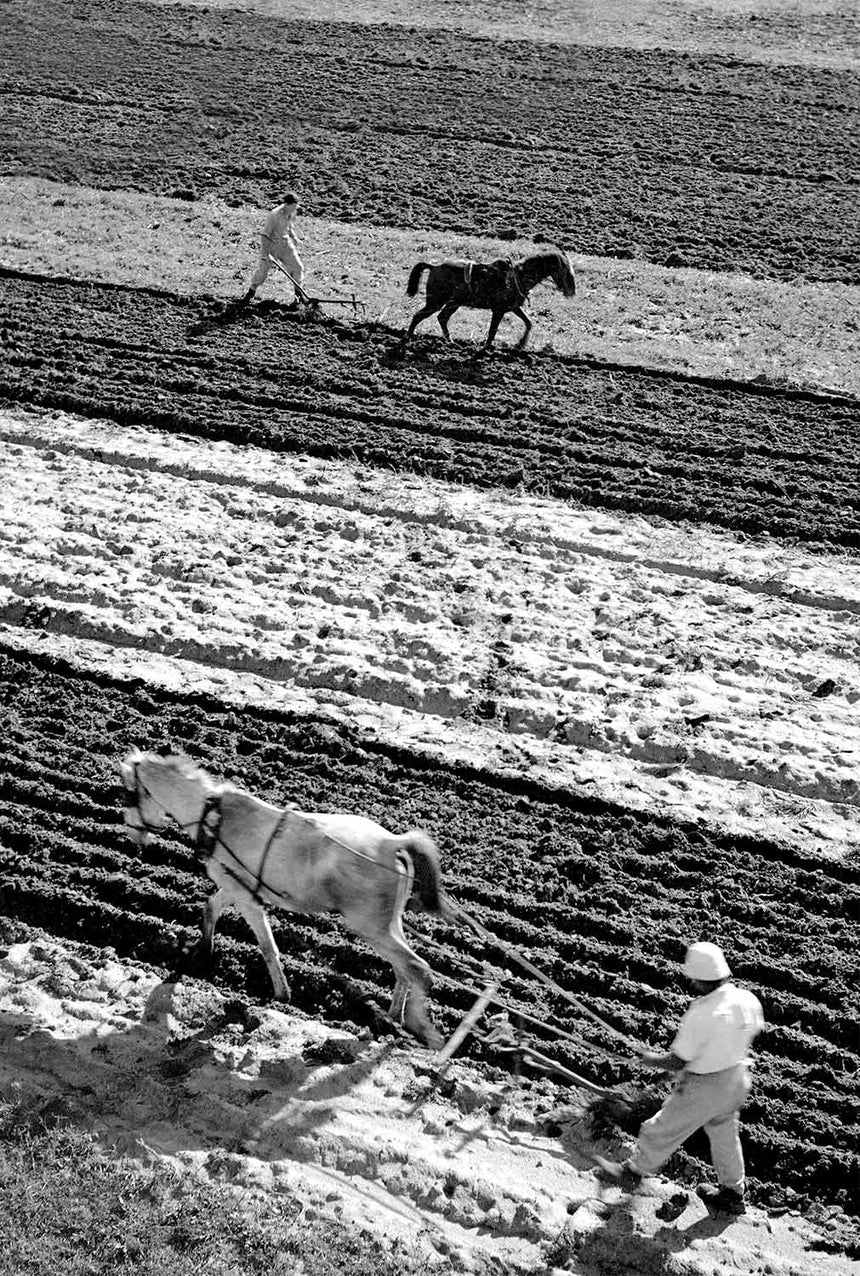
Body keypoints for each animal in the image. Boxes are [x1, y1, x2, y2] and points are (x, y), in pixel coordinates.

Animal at [123, 745, 454, 1046]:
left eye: (128, 792)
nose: (132, 832)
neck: (214, 818)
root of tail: (393, 842)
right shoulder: (233, 886)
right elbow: (210, 908)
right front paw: (202, 955)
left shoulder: (246, 898)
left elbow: (268, 947)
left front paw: (281, 996)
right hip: (388, 924)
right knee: (404, 969)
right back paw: (392, 1019)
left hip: (369, 927)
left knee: (417, 968)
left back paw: (419, 1031)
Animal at [403, 248, 576, 352]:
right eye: (566, 271)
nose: (572, 292)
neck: (517, 277)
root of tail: (434, 267)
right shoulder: (498, 310)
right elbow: (493, 330)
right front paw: (484, 348)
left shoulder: (514, 307)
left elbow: (528, 322)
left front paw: (521, 343)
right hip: (436, 302)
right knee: (419, 315)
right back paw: (408, 338)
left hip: (453, 303)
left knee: (442, 318)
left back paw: (450, 342)